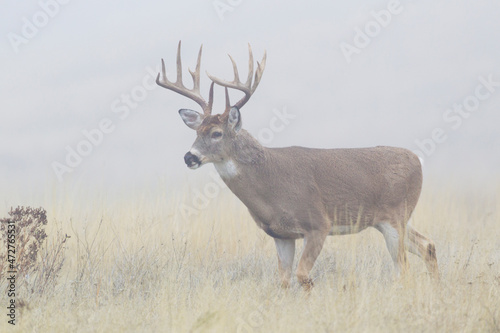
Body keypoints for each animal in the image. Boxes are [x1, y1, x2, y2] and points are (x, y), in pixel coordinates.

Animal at [155, 41, 438, 290]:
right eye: (196, 132)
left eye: (216, 133)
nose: (189, 157)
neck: (268, 186)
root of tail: (417, 160)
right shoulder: (281, 235)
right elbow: (284, 281)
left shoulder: (318, 223)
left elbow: (303, 276)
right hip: (390, 220)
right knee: (428, 245)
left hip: (395, 216)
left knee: (404, 268)